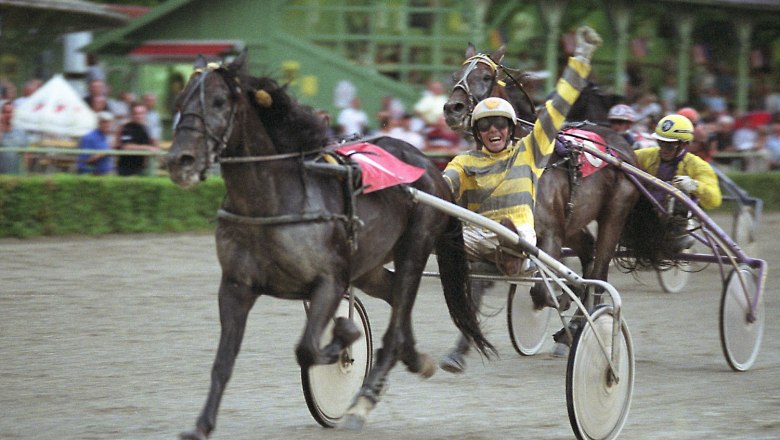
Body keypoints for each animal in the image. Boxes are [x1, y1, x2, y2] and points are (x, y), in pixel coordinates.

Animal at [166, 50, 494, 436]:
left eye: (218, 101)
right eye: (179, 101)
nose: (180, 161)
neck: (273, 201)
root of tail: (432, 168)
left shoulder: (330, 281)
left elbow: (308, 348)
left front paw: (346, 338)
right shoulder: (235, 286)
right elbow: (223, 361)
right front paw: (201, 425)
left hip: (415, 246)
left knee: (396, 321)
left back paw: (362, 403)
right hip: (368, 266)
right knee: (397, 301)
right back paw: (414, 359)